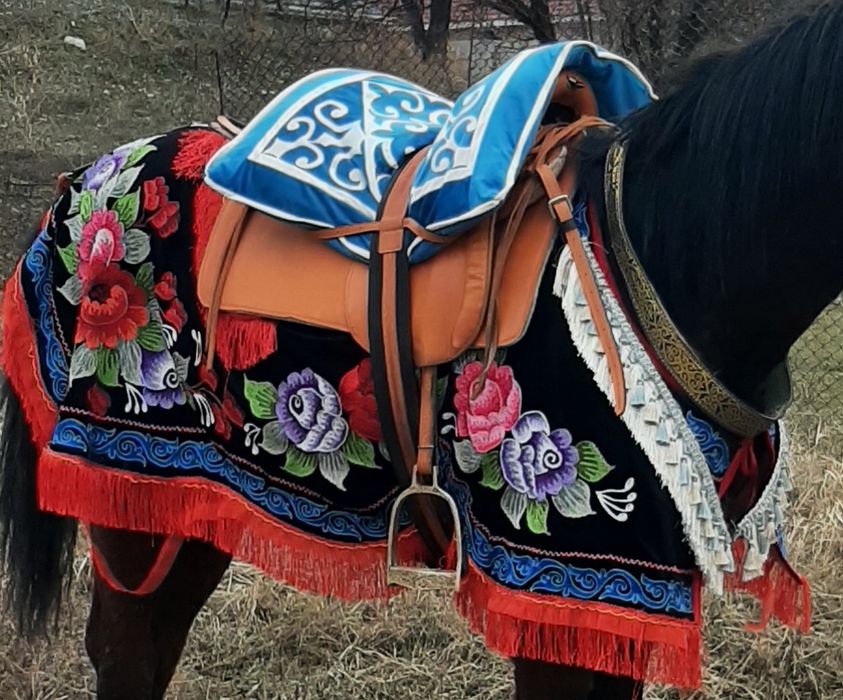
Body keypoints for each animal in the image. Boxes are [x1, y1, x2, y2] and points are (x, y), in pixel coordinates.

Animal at [1, 2, 842, 698]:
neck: (652, 256)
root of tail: (86, 179)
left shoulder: (615, 608)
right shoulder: (567, 591)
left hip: (198, 501)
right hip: (132, 502)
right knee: (129, 653)